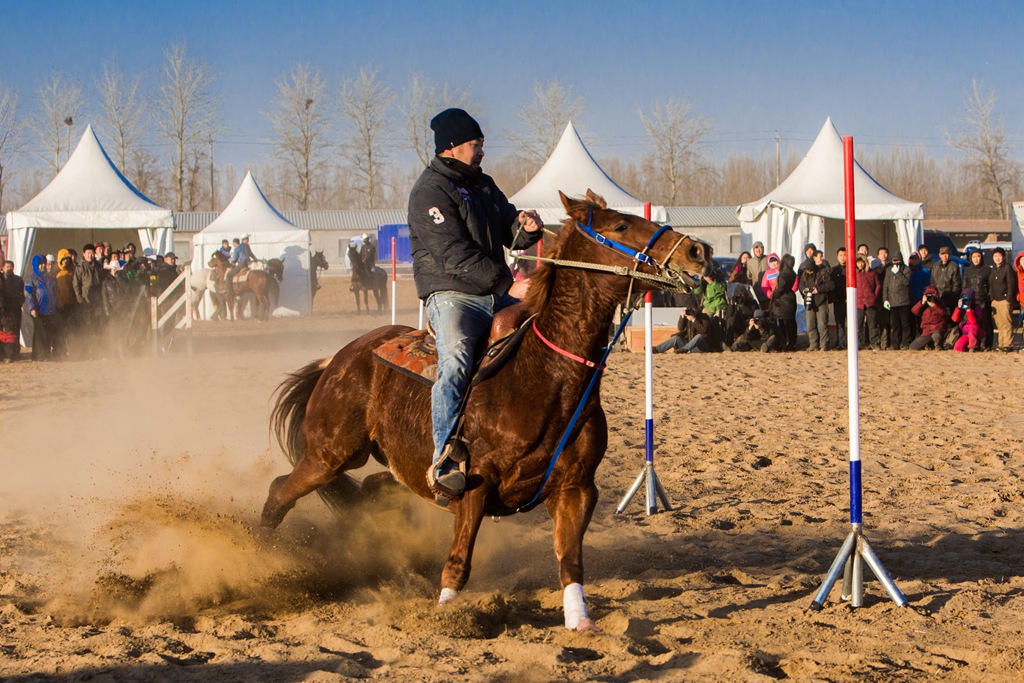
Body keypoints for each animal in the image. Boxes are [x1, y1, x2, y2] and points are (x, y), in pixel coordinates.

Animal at [260, 191, 712, 630]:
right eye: (620, 225)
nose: (698, 249)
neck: (545, 374)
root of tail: (338, 359)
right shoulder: (473, 484)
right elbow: (459, 560)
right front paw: (448, 613)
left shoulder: (576, 488)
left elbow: (569, 561)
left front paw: (580, 620)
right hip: (330, 455)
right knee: (281, 490)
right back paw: (265, 556)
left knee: (372, 487)